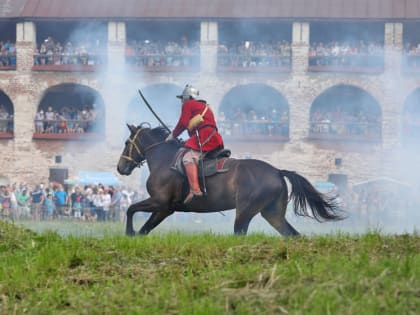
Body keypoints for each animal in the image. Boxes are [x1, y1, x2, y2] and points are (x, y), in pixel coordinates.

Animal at [116, 123, 342, 237]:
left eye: (127, 142)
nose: (120, 167)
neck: (165, 159)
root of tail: (277, 172)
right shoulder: (165, 209)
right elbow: (144, 228)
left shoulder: (160, 204)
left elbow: (131, 210)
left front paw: (128, 232)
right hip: (272, 214)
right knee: (291, 234)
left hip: (244, 212)